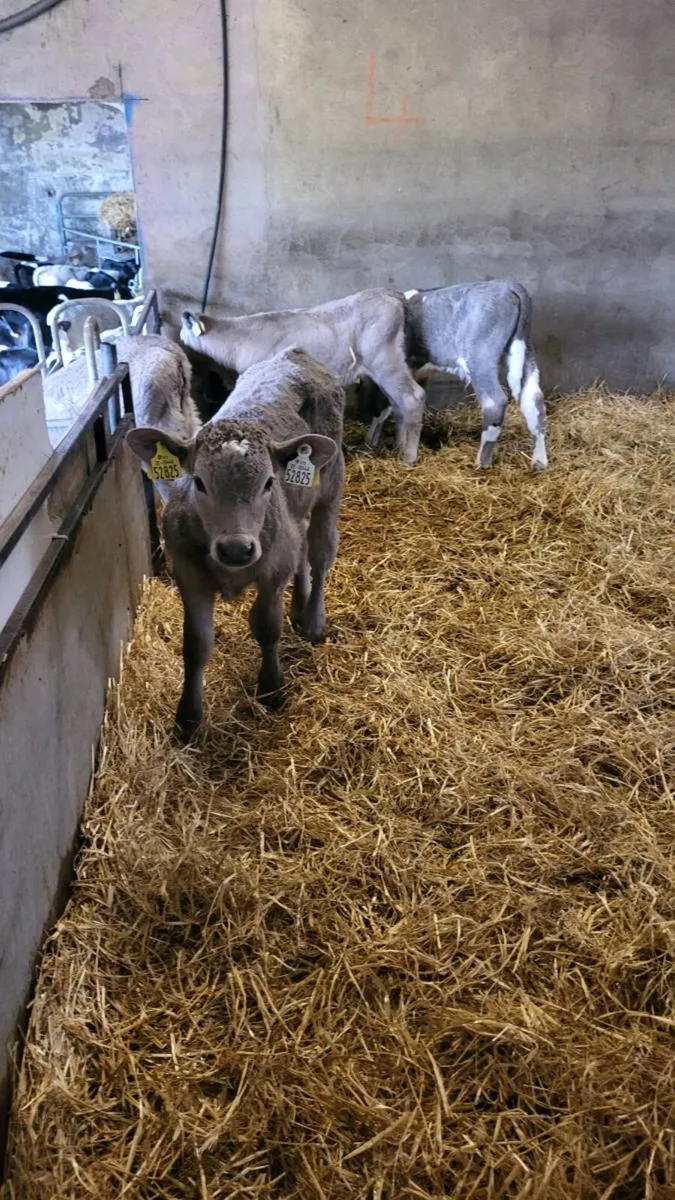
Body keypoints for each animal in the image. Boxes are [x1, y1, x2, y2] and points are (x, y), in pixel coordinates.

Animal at [126, 348, 345, 737]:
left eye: (268, 482)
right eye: (199, 482)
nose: (236, 548)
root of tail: (295, 353)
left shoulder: (274, 569)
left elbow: (267, 626)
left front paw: (271, 687)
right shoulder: (189, 573)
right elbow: (196, 643)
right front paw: (188, 717)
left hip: (330, 489)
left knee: (320, 555)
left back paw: (314, 619)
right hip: (296, 515)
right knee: (302, 546)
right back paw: (299, 606)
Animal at [179, 288, 424, 466]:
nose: (179, 336)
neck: (241, 337)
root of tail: (391, 294)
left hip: (386, 362)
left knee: (413, 398)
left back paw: (408, 457)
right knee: (398, 405)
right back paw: (398, 447)